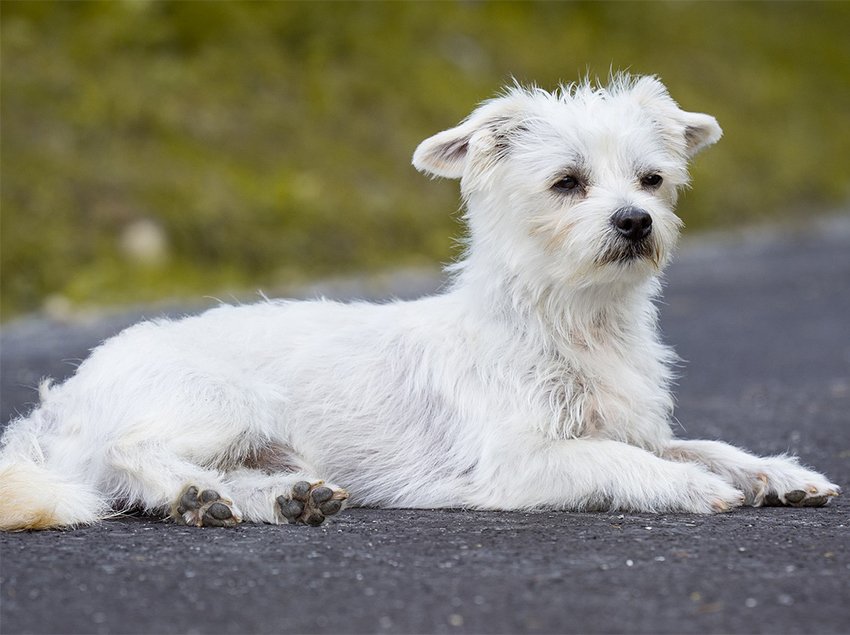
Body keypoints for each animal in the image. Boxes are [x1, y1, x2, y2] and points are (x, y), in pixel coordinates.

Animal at [0, 76, 836, 532]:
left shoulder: (635, 424)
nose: (636, 222)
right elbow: (619, 459)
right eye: (567, 182)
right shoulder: (519, 461)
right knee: (128, 453)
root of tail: (60, 401)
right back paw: (192, 493)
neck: (571, 320)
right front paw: (693, 488)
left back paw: (269, 498)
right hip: (223, 401)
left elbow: (702, 443)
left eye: (652, 180)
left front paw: (775, 471)